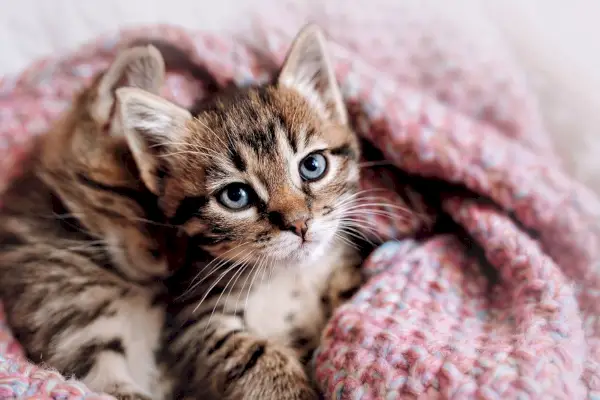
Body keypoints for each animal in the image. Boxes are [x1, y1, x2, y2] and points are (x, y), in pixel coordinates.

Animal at [115, 25, 364, 400]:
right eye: (236, 196)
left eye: (312, 166)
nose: (300, 224)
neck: (288, 275)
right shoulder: (190, 319)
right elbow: (246, 353)